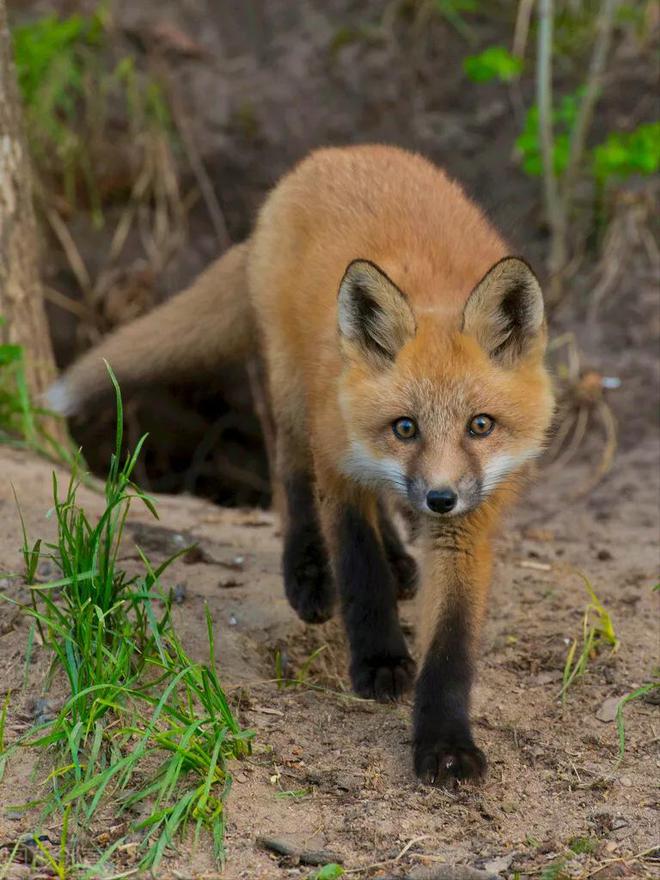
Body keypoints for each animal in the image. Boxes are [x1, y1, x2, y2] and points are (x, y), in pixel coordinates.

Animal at [46, 144, 556, 784]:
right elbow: (360, 572)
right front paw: (380, 661)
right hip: (292, 390)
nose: (439, 499)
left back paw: (400, 560)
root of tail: (334, 154)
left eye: (480, 426)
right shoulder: (338, 459)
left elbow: (452, 644)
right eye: (406, 427)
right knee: (288, 472)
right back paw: (309, 571)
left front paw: (444, 741)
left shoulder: (469, 519)